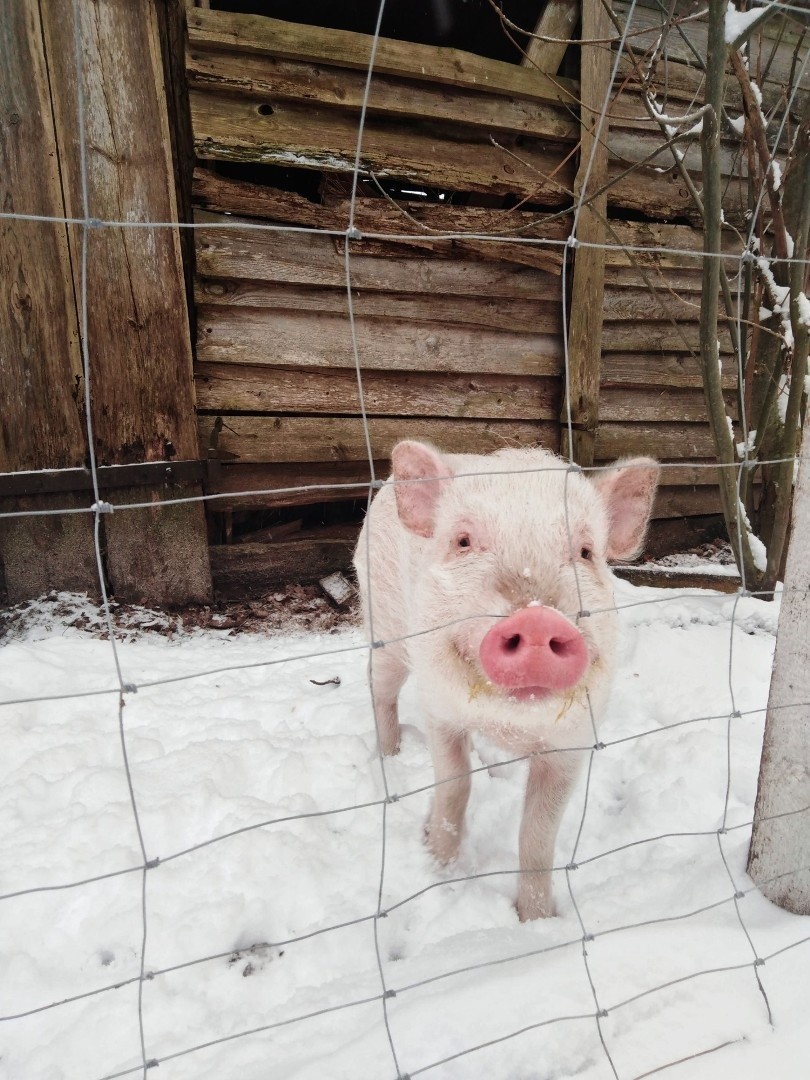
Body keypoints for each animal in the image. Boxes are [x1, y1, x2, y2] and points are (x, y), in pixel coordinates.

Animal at [354, 438, 660, 920]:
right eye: (463, 541)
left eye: (586, 552)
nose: (536, 618)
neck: (508, 724)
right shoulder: (441, 713)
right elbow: (455, 786)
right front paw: (437, 867)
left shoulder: (572, 743)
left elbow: (537, 832)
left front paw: (536, 920)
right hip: (383, 631)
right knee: (379, 689)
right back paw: (388, 757)